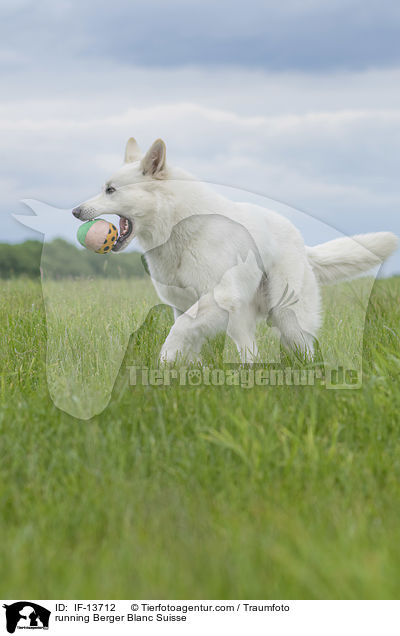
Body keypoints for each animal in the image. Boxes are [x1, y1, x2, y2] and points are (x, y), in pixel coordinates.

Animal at [72, 139, 396, 362]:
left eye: (111, 190)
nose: (75, 212)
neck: (178, 225)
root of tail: (303, 245)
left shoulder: (215, 298)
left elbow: (177, 333)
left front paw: (164, 361)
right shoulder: (183, 306)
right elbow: (188, 341)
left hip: (288, 317)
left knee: (304, 350)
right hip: (241, 321)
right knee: (251, 353)